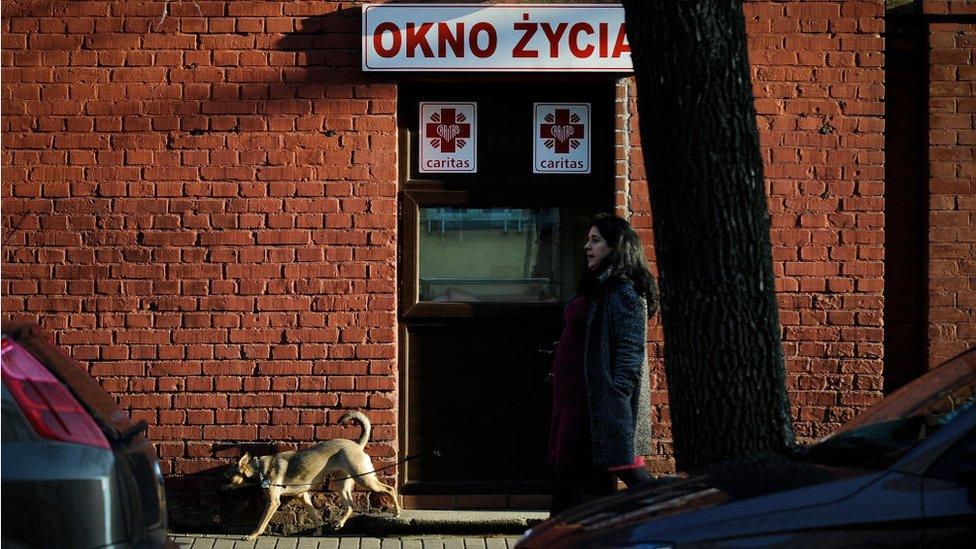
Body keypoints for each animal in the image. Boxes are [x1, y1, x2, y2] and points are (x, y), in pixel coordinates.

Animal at [222, 408, 400, 536]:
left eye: (227, 477)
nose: (220, 489)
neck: (259, 469)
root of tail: (357, 445)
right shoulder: (303, 496)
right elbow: (314, 515)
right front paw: (319, 531)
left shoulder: (273, 502)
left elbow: (261, 522)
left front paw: (252, 536)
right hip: (342, 485)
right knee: (351, 505)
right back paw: (339, 523)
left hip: (365, 479)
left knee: (389, 489)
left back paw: (397, 512)